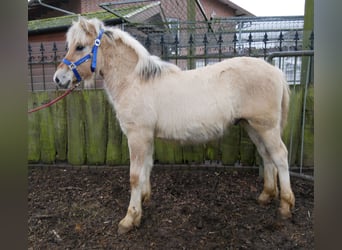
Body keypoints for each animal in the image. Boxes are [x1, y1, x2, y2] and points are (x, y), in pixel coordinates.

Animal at [52, 17, 294, 234]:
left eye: (80, 47)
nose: (58, 78)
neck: (134, 81)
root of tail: (276, 72)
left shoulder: (137, 136)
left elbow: (135, 176)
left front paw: (130, 219)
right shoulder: (146, 137)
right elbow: (146, 168)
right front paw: (144, 200)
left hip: (266, 127)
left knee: (280, 156)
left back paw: (285, 205)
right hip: (253, 126)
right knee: (266, 155)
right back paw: (266, 196)